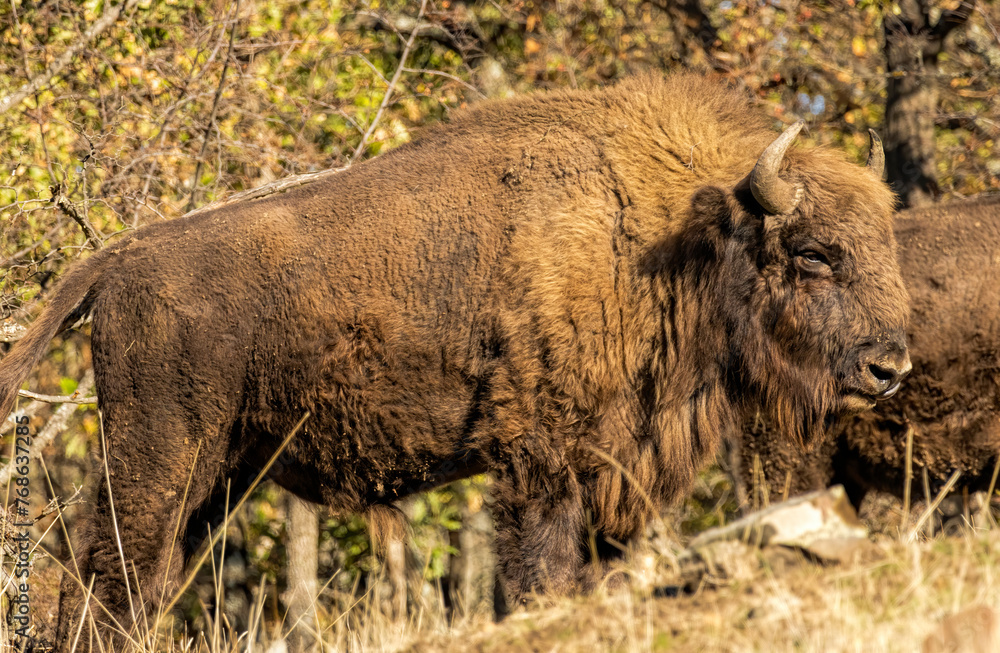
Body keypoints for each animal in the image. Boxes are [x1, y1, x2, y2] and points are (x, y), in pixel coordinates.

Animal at [0, 75, 908, 648]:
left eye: (880, 242)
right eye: (815, 253)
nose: (889, 367)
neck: (671, 233)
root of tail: (119, 259)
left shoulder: (620, 469)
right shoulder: (541, 459)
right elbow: (541, 569)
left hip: (222, 472)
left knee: (138, 583)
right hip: (160, 455)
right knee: (108, 575)